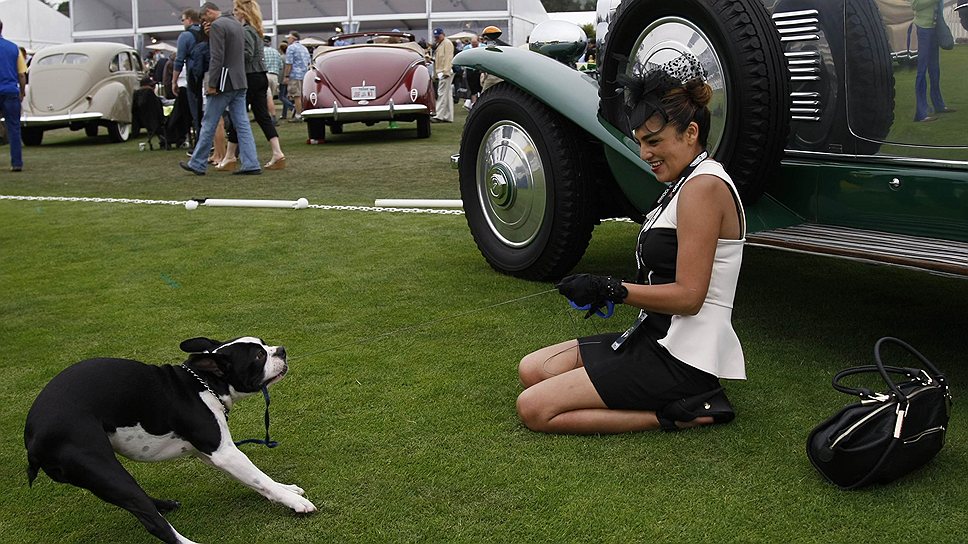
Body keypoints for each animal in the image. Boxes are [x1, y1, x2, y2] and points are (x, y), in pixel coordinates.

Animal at [24, 338, 316, 540]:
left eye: (264, 344)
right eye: (258, 355)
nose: (281, 350)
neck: (205, 383)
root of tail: (33, 441)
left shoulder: (209, 453)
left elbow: (257, 481)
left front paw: (285, 489)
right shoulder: (225, 453)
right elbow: (258, 477)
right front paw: (294, 502)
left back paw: (163, 505)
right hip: (102, 467)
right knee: (154, 524)